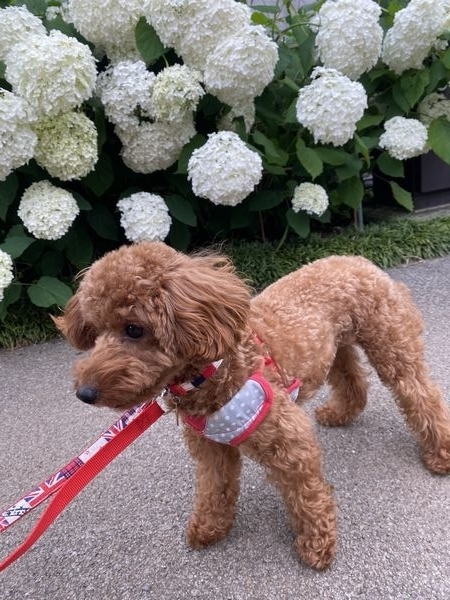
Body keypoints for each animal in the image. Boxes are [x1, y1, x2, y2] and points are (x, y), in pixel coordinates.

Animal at [54, 241, 450, 570]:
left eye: (134, 329)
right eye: (95, 330)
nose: (85, 392)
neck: (214, 370)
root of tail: (357, 259)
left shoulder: (288, 442)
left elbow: (307, 495)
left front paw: (316, 544)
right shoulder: (211, 449)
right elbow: (215, 489)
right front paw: (209, 528)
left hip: (390, 343)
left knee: (420, 393)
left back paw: (440, 453)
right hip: (335, 345)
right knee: (351, 378)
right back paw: (339, 413)